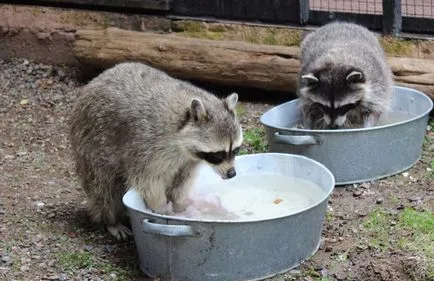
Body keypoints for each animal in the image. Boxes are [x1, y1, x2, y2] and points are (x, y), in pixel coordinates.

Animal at [69, 62, 242, 240]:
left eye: (236, 150)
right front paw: (161, 208)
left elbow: (182, 180)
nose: (231, 173)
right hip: (91, 142)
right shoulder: (148, 143)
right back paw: (110, 220)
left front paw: (179, 205)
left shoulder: (189, 160)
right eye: (218, 154)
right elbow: (149, 179)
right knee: (103, 188)